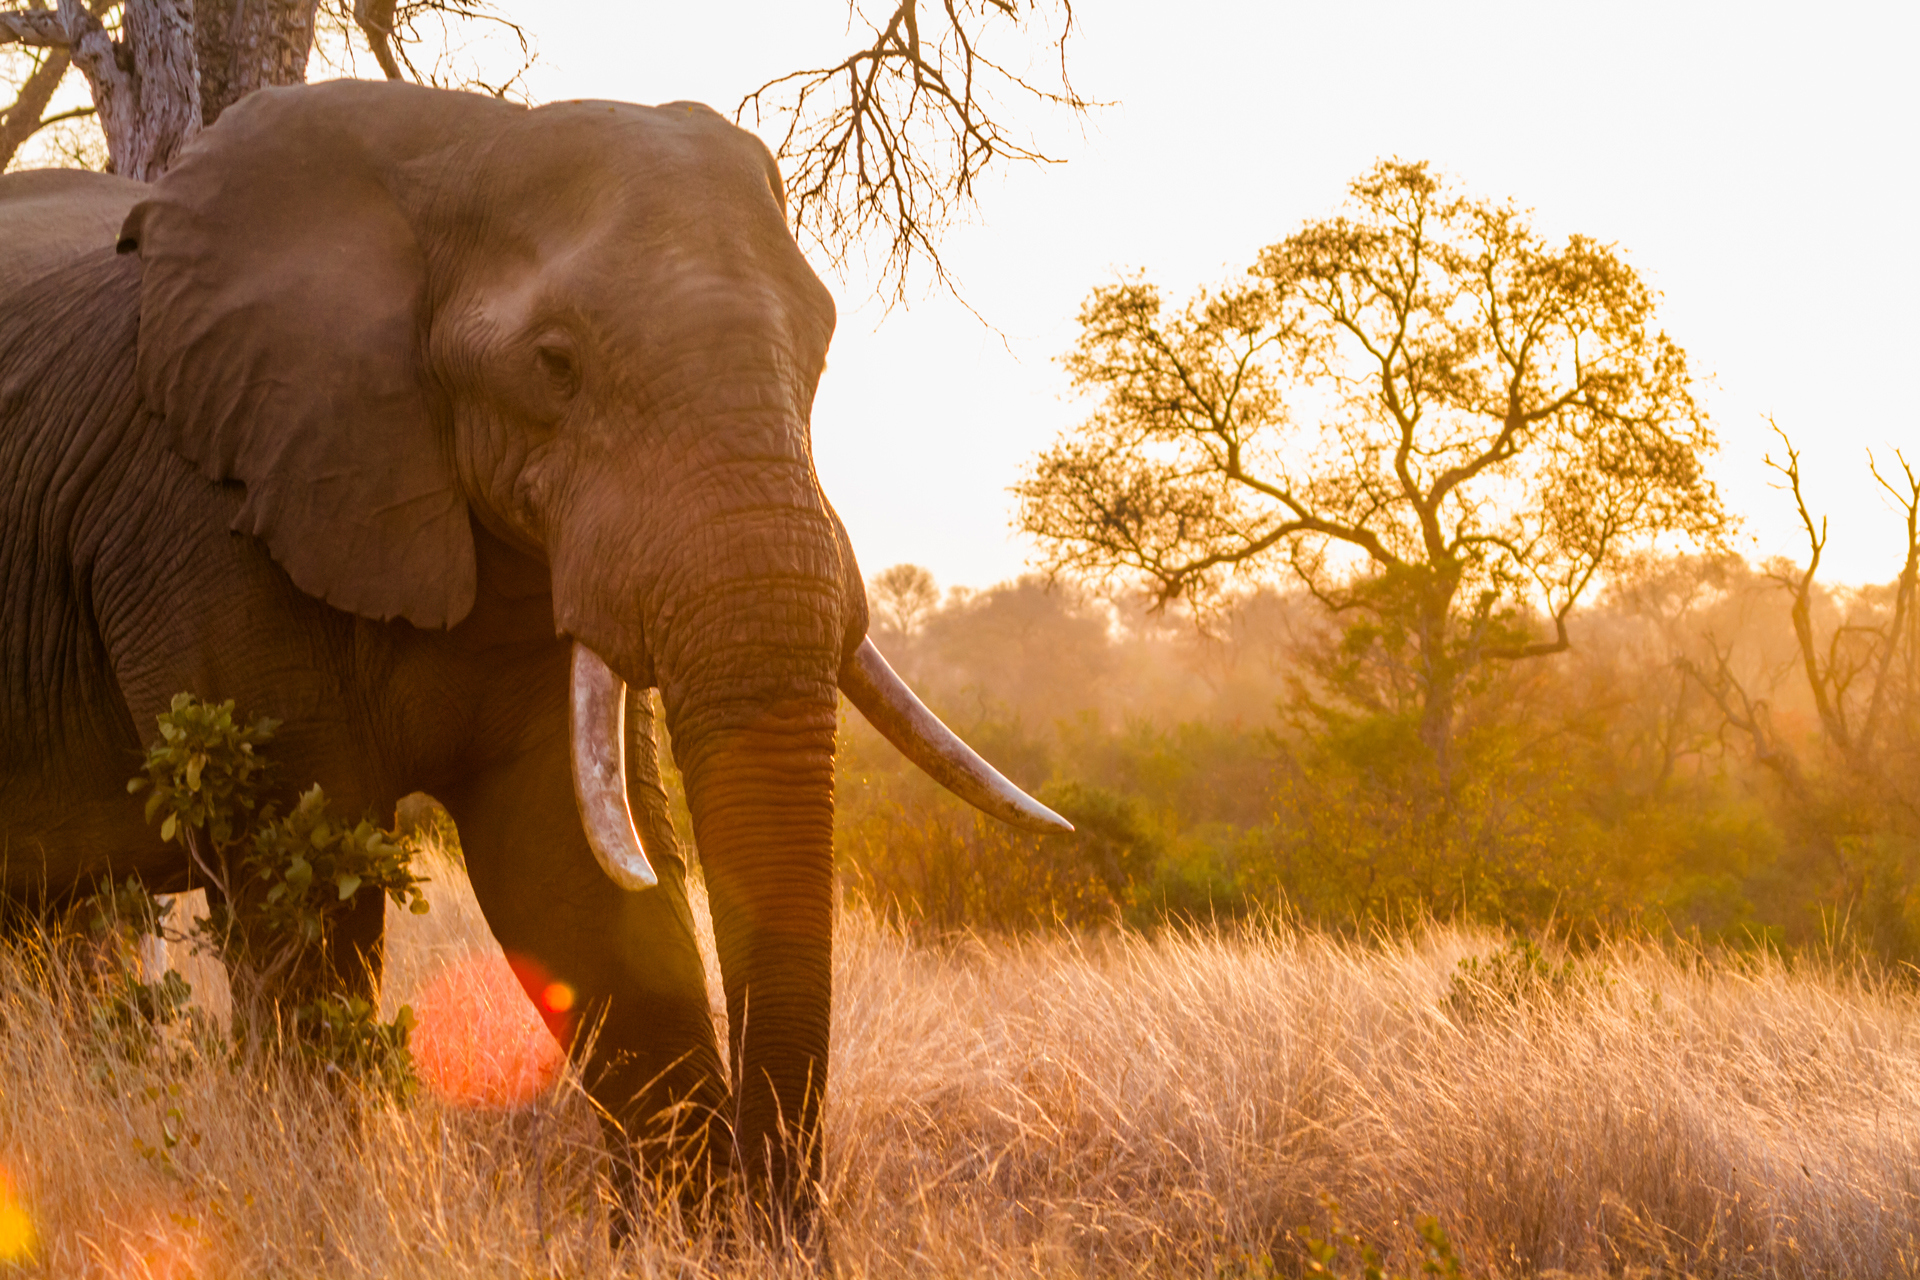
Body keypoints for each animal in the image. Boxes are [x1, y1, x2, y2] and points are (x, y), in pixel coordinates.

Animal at [0, 79, 1067, 1227]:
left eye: (821, 347)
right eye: (555, 365)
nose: (787, 1220)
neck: (449, 151)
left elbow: (567, 868)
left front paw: (693, 1237)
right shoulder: (195, 512)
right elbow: (301, 881)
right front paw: (318, 1210)